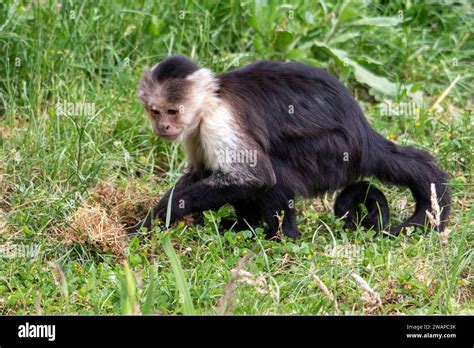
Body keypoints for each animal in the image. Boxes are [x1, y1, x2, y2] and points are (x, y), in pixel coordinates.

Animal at [134, 55, 452, 239]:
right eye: (155, 111)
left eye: (172, 111)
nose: (163, 127)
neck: (210, 101)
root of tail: (366, 138)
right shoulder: (194, 131)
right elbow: (201, 172)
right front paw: (153, 217)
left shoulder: (218, 120)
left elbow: (255, 177)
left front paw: (169, 210)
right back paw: (244, 228)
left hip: (332, 153)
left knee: (276, 169)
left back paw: (281, 237)